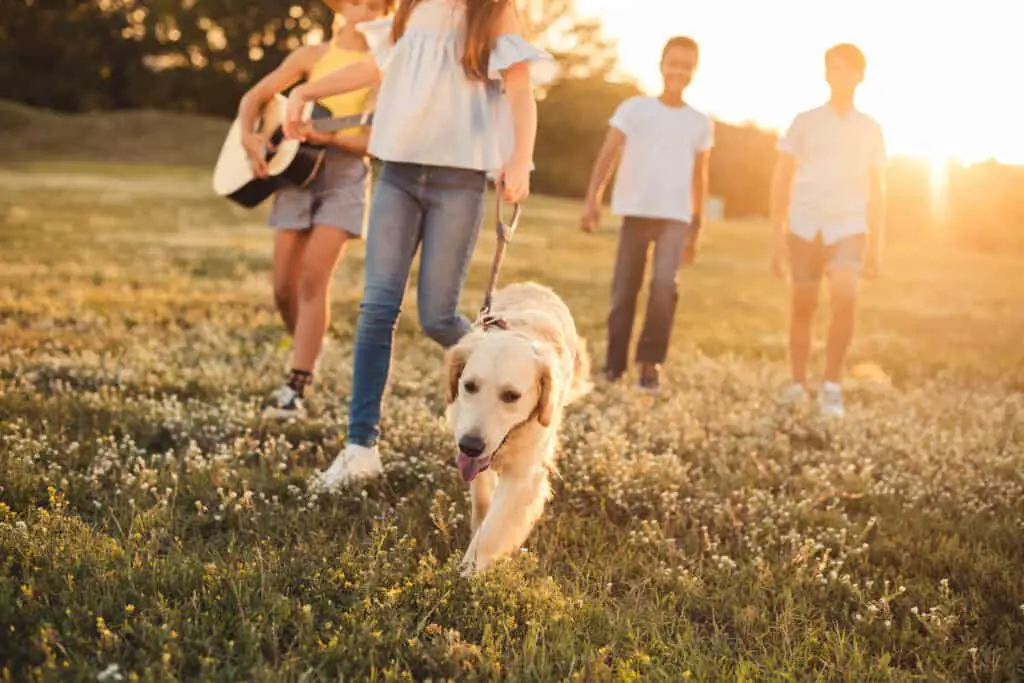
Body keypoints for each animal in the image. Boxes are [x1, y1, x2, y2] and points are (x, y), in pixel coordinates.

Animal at [442, 280, 593, 573]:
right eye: (469, 386)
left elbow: (493, 529)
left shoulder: (524, 474)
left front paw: (468, 572)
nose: (470, 446)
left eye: (511, 396)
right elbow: (482, 501)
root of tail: (534, 284)